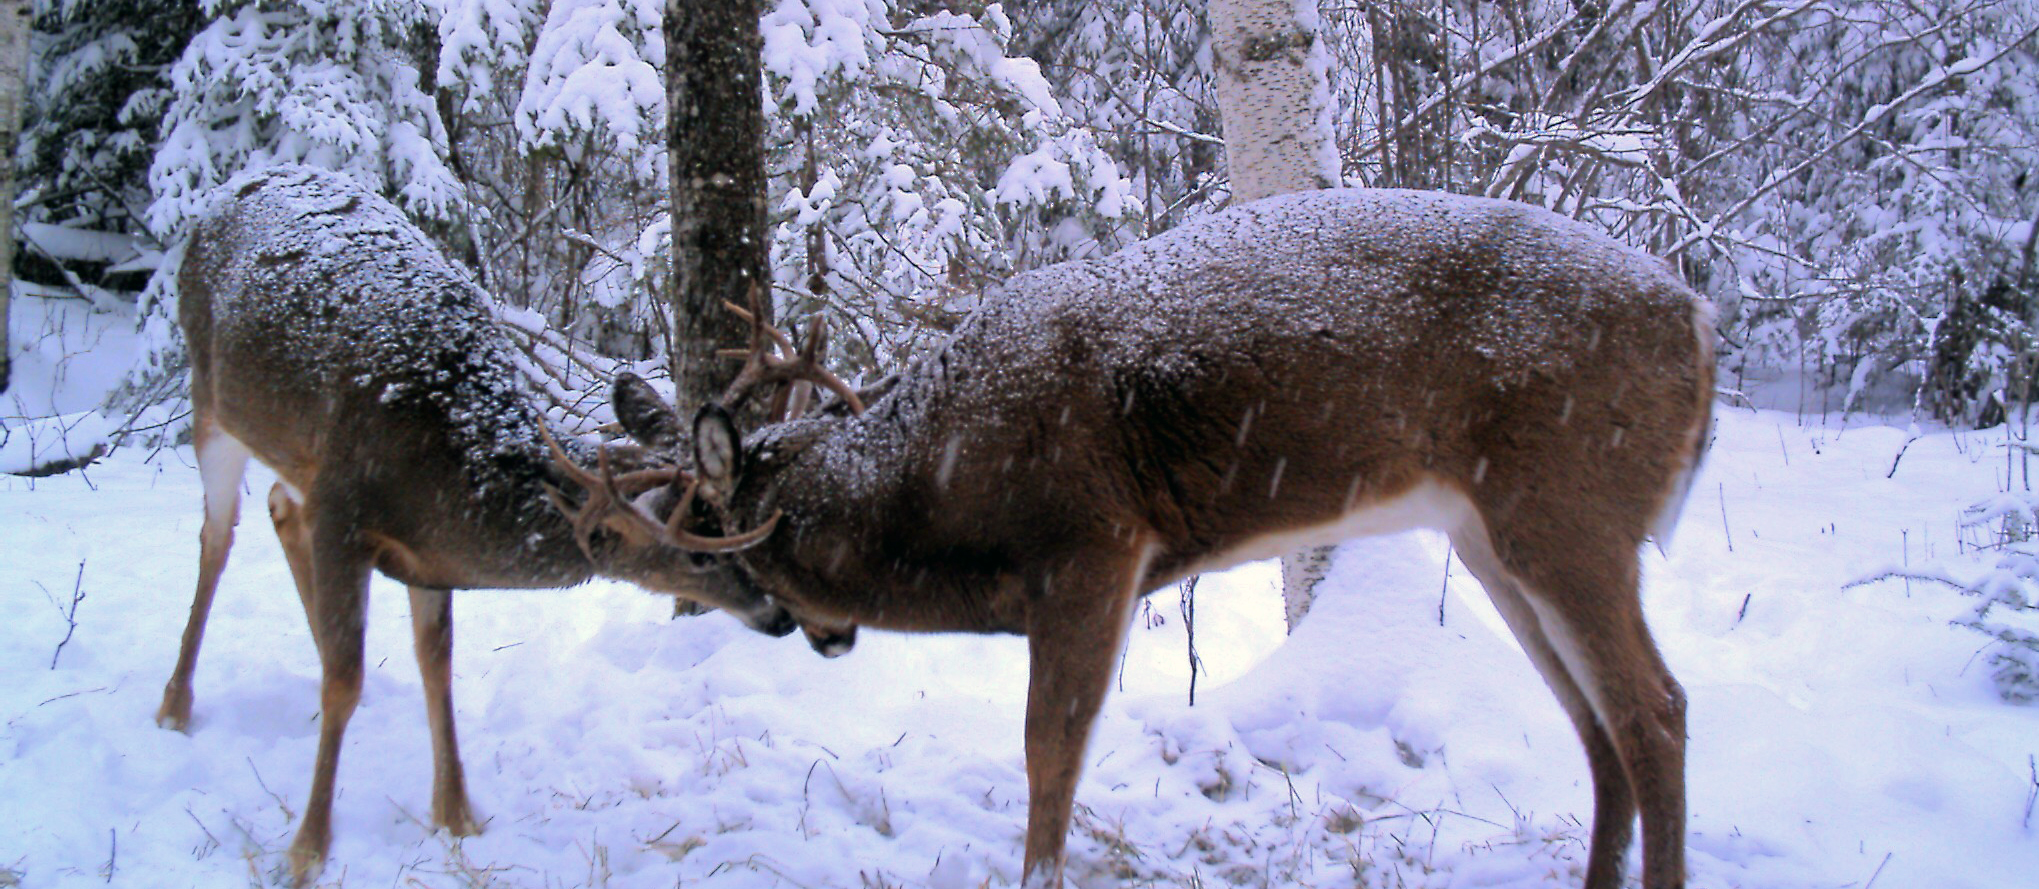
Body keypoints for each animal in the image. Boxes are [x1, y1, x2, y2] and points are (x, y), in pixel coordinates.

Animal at [154, 165, 795, 880]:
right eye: (700, 554)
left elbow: (436, 663)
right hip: (211, 398)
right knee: (218, 536)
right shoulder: (345, 506)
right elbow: (346, 678)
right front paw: (308, 849)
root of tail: (230, 189)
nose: (779, 616)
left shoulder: (423, 553)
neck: (444, 451)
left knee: (279, 507)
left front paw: (458, 816)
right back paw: (175, 705)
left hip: (289, 452)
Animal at [550, 184, 1712, 884]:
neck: (939, 487)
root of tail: (1701, 324)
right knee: (1596, 722)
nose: (796, 630)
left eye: (712, 534)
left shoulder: (1090, 545)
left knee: (1652, 707)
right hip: (1493, 536)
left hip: (1567, 506)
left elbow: (1048, 751)